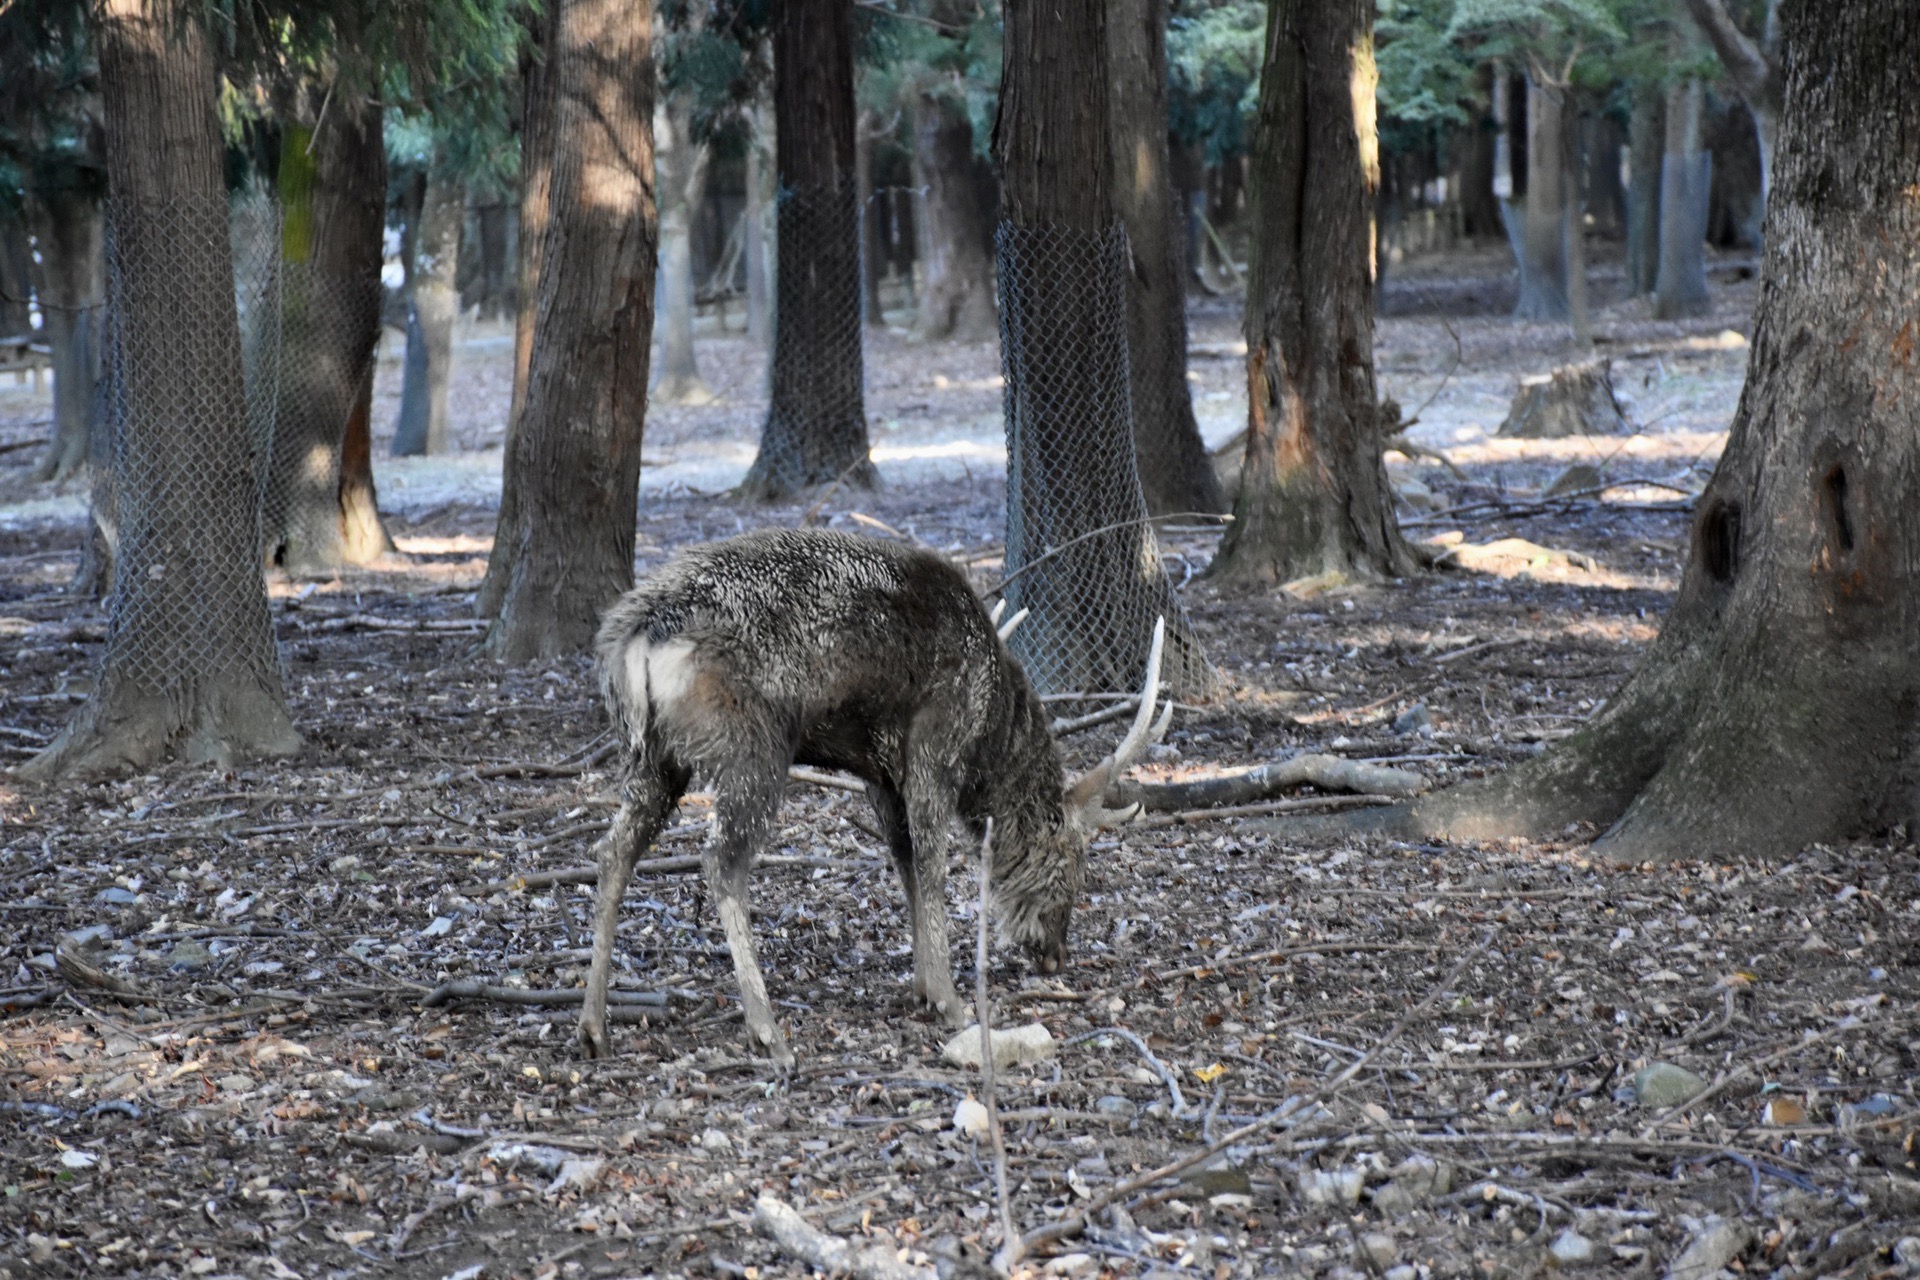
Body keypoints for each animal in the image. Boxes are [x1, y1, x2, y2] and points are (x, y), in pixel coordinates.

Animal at [572, 525, 1167, 1066]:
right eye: (1073, 862)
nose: (1056, 955)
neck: (990, 730)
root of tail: (636, 641)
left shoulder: (881, 772)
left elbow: (903, 859)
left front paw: (923, 986)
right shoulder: (932, 748)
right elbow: (931, 863)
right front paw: (950, 1000)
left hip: (652, 756)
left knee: (614, 850)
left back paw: (594, 1027)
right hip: (750, 748)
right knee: (721, 861)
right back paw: (768, 1032)